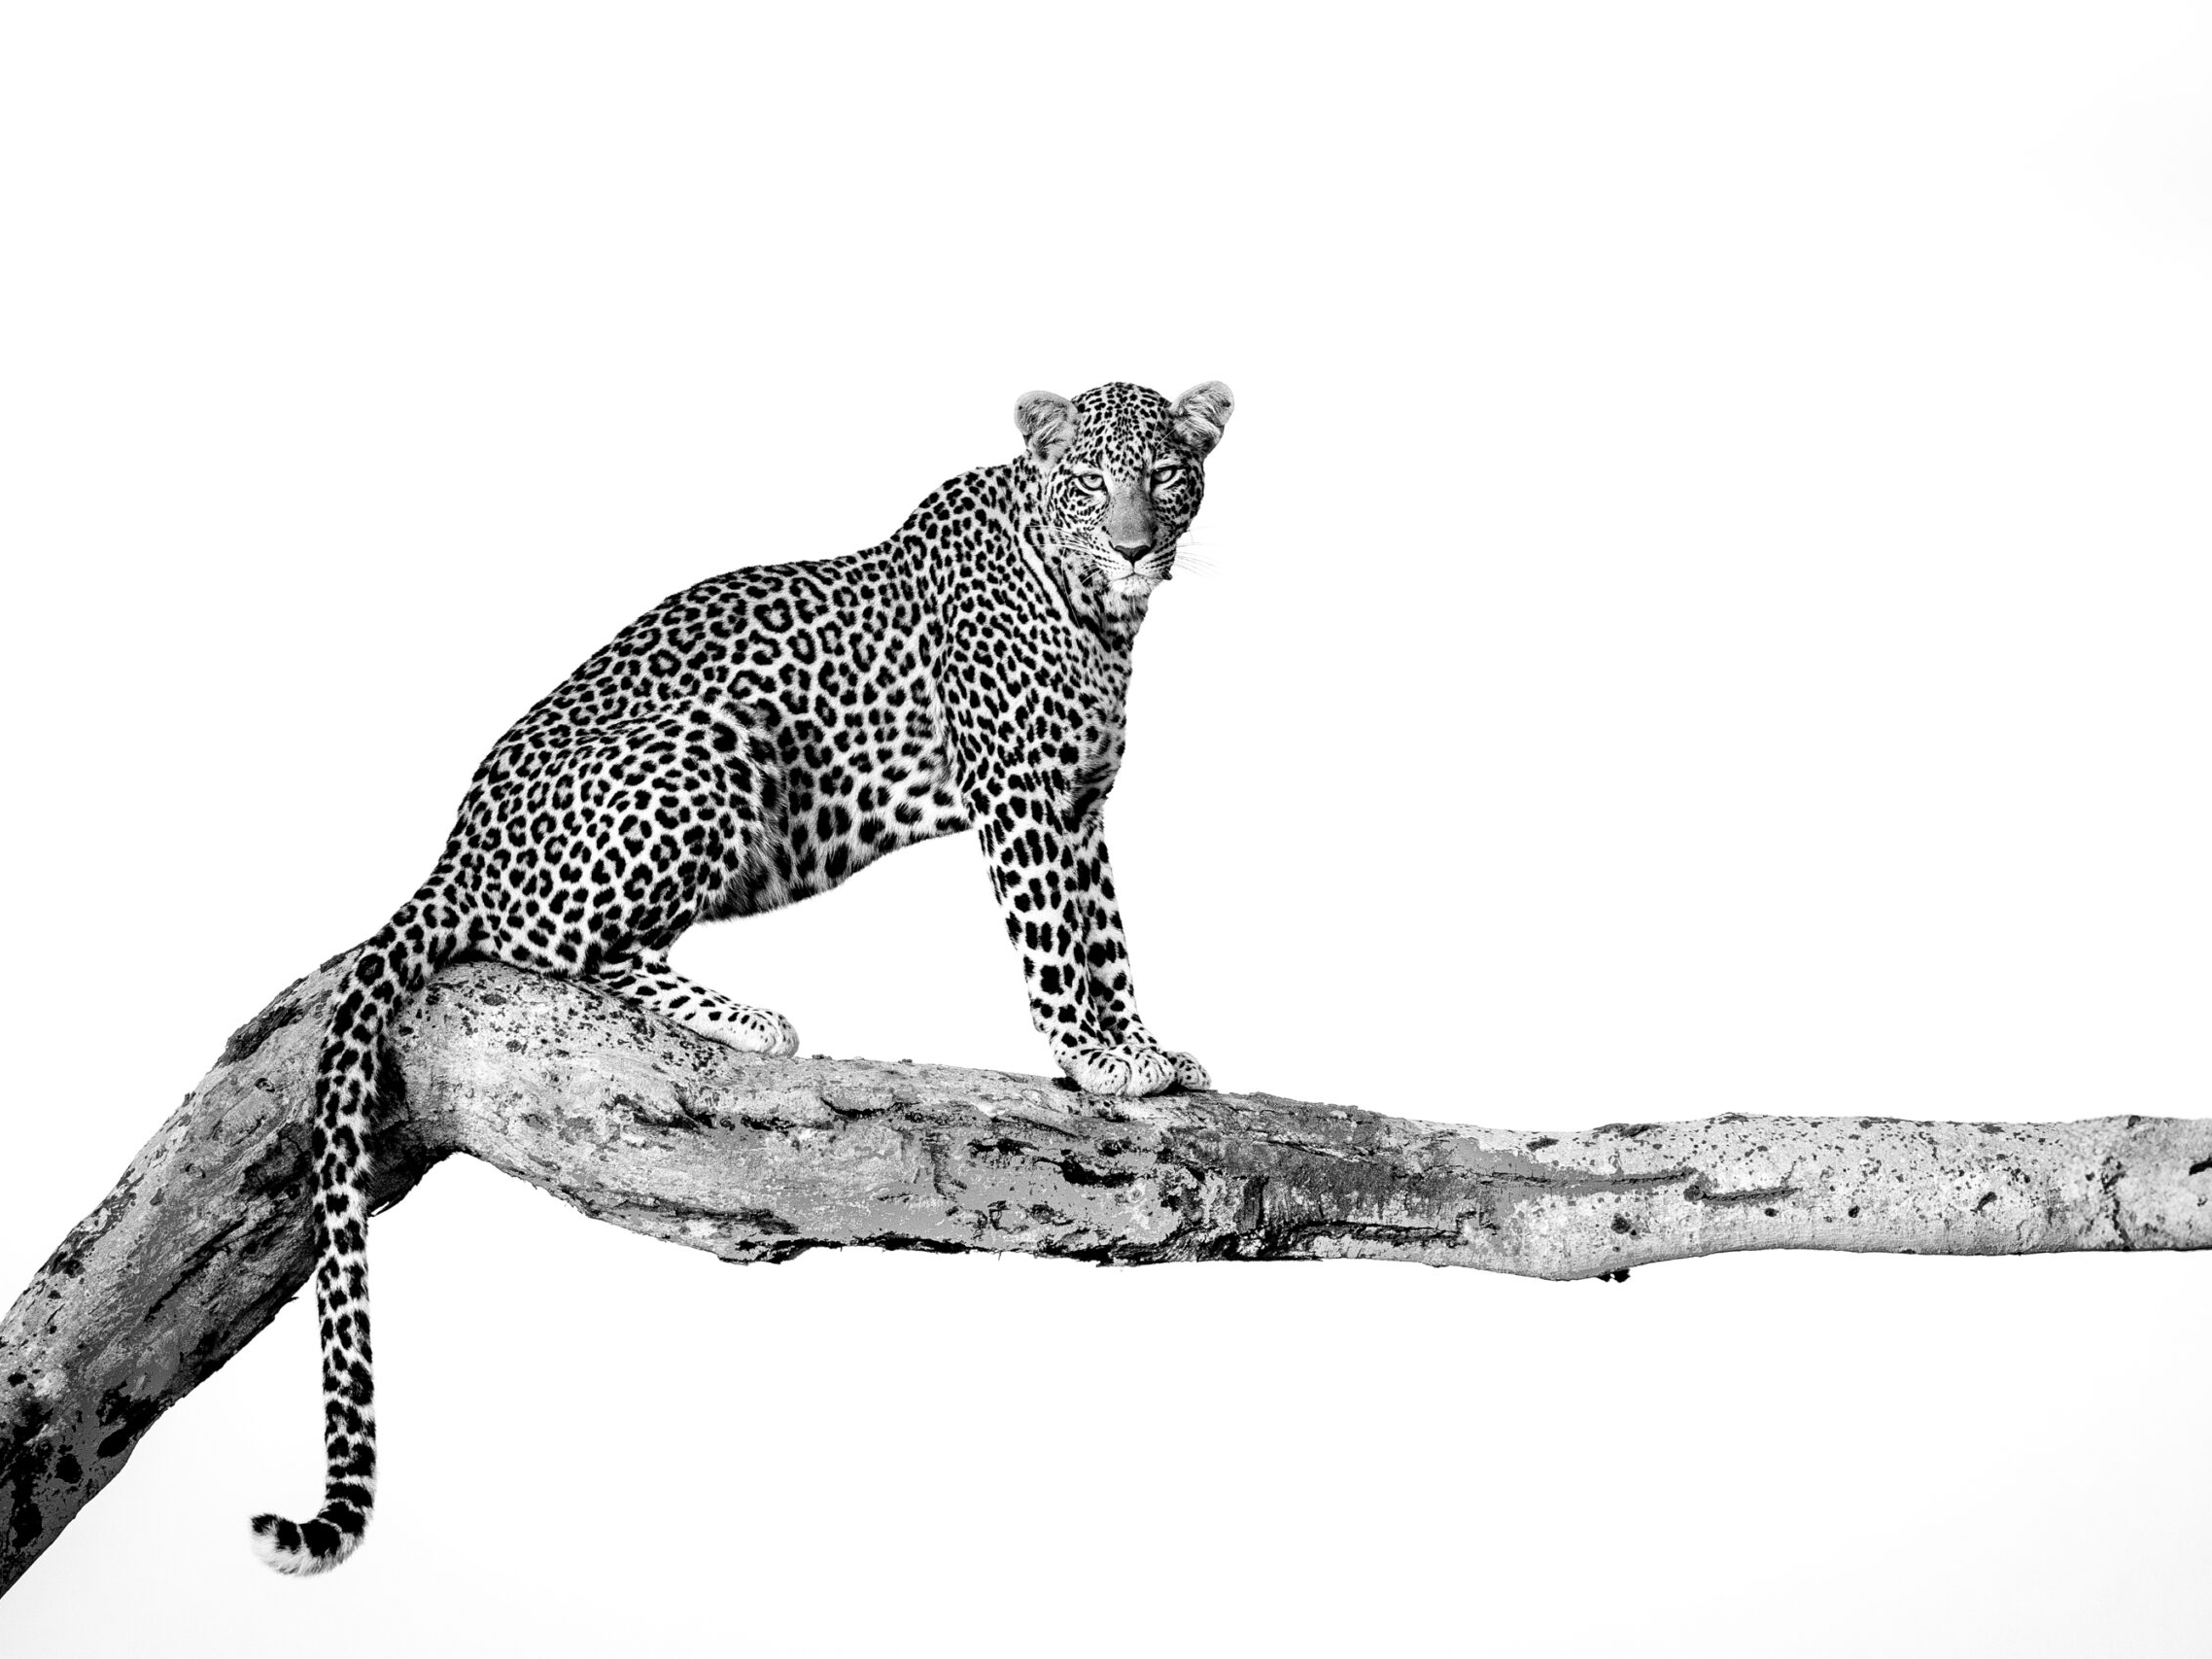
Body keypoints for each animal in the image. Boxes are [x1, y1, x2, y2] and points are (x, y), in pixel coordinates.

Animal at [250, 379, 1234, 1574]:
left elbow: (1108, 939)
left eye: (1167, 478)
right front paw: (1091, 1058)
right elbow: (1053, 942)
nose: (1134, 548)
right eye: (1089, 484)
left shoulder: (1082, 809)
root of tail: (453, 852)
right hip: (710, 746)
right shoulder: (1020, 796)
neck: (1095, 614)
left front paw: (1141, 1045)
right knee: (549, 946)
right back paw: (743, 1018)